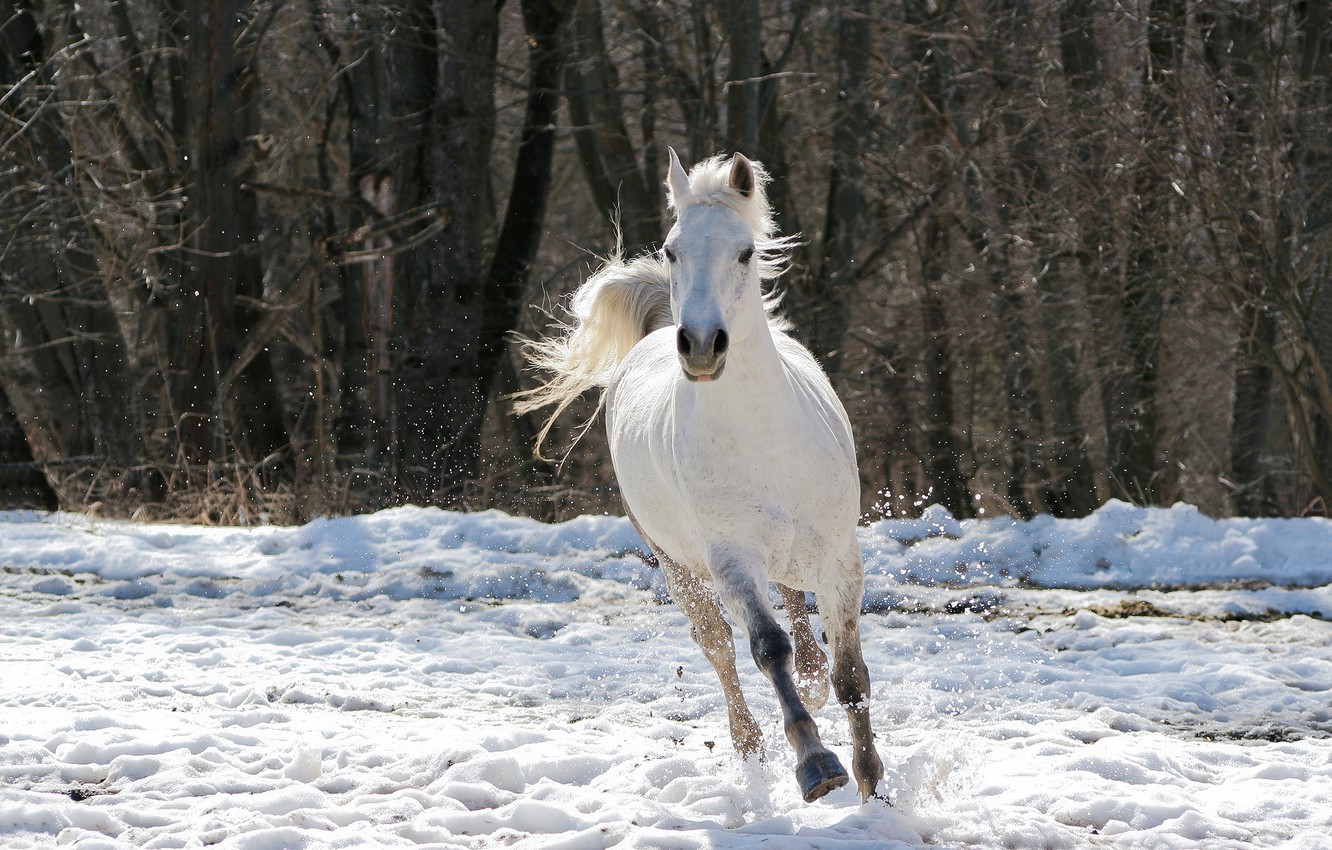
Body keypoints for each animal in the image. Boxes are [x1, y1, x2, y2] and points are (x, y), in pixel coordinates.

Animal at [516, 149, 883, 803]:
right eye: (671, 250)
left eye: (745, 252)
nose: (703, 346)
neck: (764, 438)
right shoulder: (730, 559)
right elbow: (766, 648)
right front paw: (818, 766)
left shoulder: (841, 555)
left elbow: (850, 675)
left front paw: (873, 787)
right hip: (680, 566)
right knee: (720, 649)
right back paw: (751, 747)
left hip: (793, 553)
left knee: (797, 612)